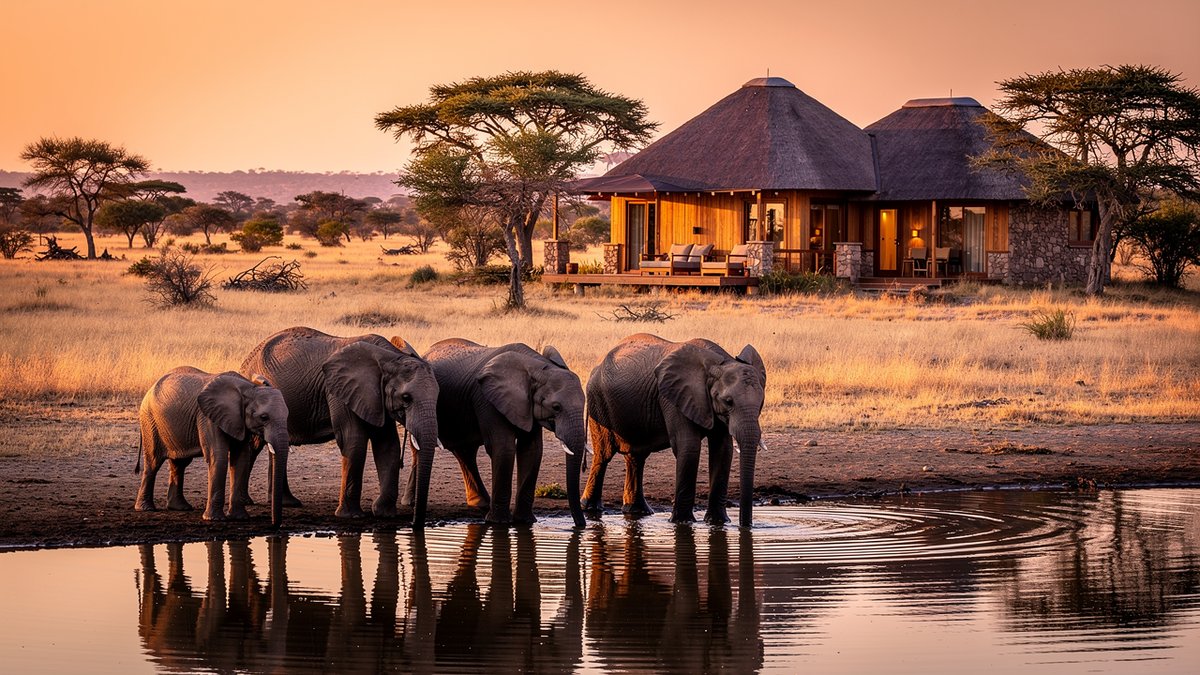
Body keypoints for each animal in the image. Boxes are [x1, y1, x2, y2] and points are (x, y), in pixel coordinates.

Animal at [134, 367, 291, 524]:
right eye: (264, 417)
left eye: (287, 417)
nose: (274, 524)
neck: (248, 387)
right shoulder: (208, 418)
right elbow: (218, 457)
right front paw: (214, 519)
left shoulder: (238, 422)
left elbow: (241, 459)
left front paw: (239, 517)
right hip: (149, 422)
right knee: (153, 462)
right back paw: (146, 508)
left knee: (179, 463)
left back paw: (180, 508)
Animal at [240, 326, 440, 524]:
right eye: (406, 398)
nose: (414, 522)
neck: (391, 357)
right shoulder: (339, 391)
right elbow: (354, 440)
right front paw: (352, 516)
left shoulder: (376, 399)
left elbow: (387, 445)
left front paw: (384, 514)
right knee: (253, 445)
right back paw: (247, 501)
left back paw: (288, 503)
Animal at [410, 339, 587, 527]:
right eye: (556, 407)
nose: (580, 525)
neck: (536, 367)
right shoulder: (487, 399)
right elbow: (504, 447)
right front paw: (499, 523)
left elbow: (532, 451)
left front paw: (524, 522)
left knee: (465, 452)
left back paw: (481, 503)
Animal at [582, 334, 767, 526]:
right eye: (728, 401)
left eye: (761, 403)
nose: (746, 525)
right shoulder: (672, 398)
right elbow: (688, 447)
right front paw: (682, 523)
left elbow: (723, 451)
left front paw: (718, 523)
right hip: (598, 402)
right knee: (604, 454)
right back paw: (591, 508)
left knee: (636, 456)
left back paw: (638, 511)